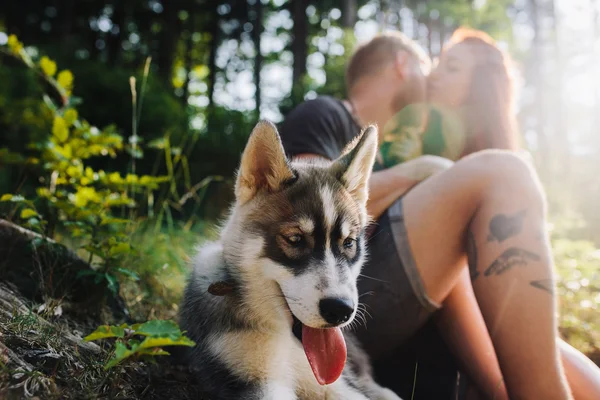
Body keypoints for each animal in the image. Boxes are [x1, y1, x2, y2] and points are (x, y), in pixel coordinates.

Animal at [180, 120, 400, 398]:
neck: (285, 338)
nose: (340, 310)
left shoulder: (338, 385)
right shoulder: (257, 380)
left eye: (348, 243)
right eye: (295, 239)